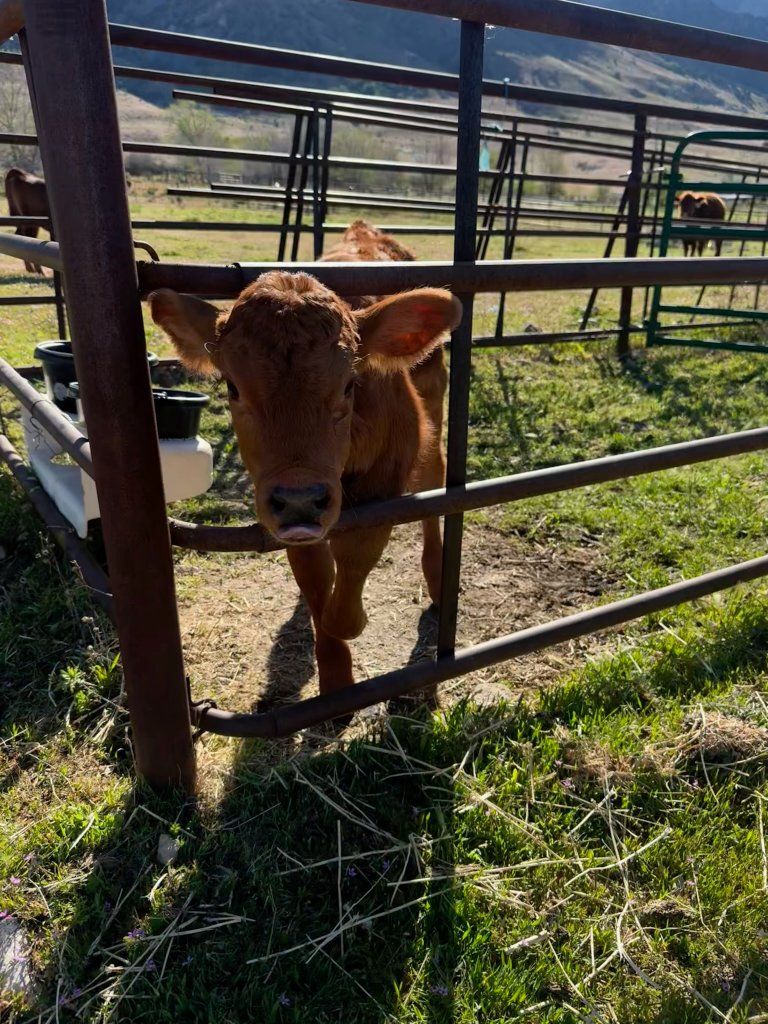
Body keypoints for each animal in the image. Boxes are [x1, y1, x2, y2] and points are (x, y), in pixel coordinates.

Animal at [149, 221, 461, 702]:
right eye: (232, 387)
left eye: (350, 383)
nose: (301, 498)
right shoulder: (285, 510)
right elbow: (315, 578)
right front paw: (334, 676)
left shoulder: (390, 469)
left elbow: (357, 556)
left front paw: (348, 619)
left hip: (433, 399)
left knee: (433, 481)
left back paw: (437, 577)